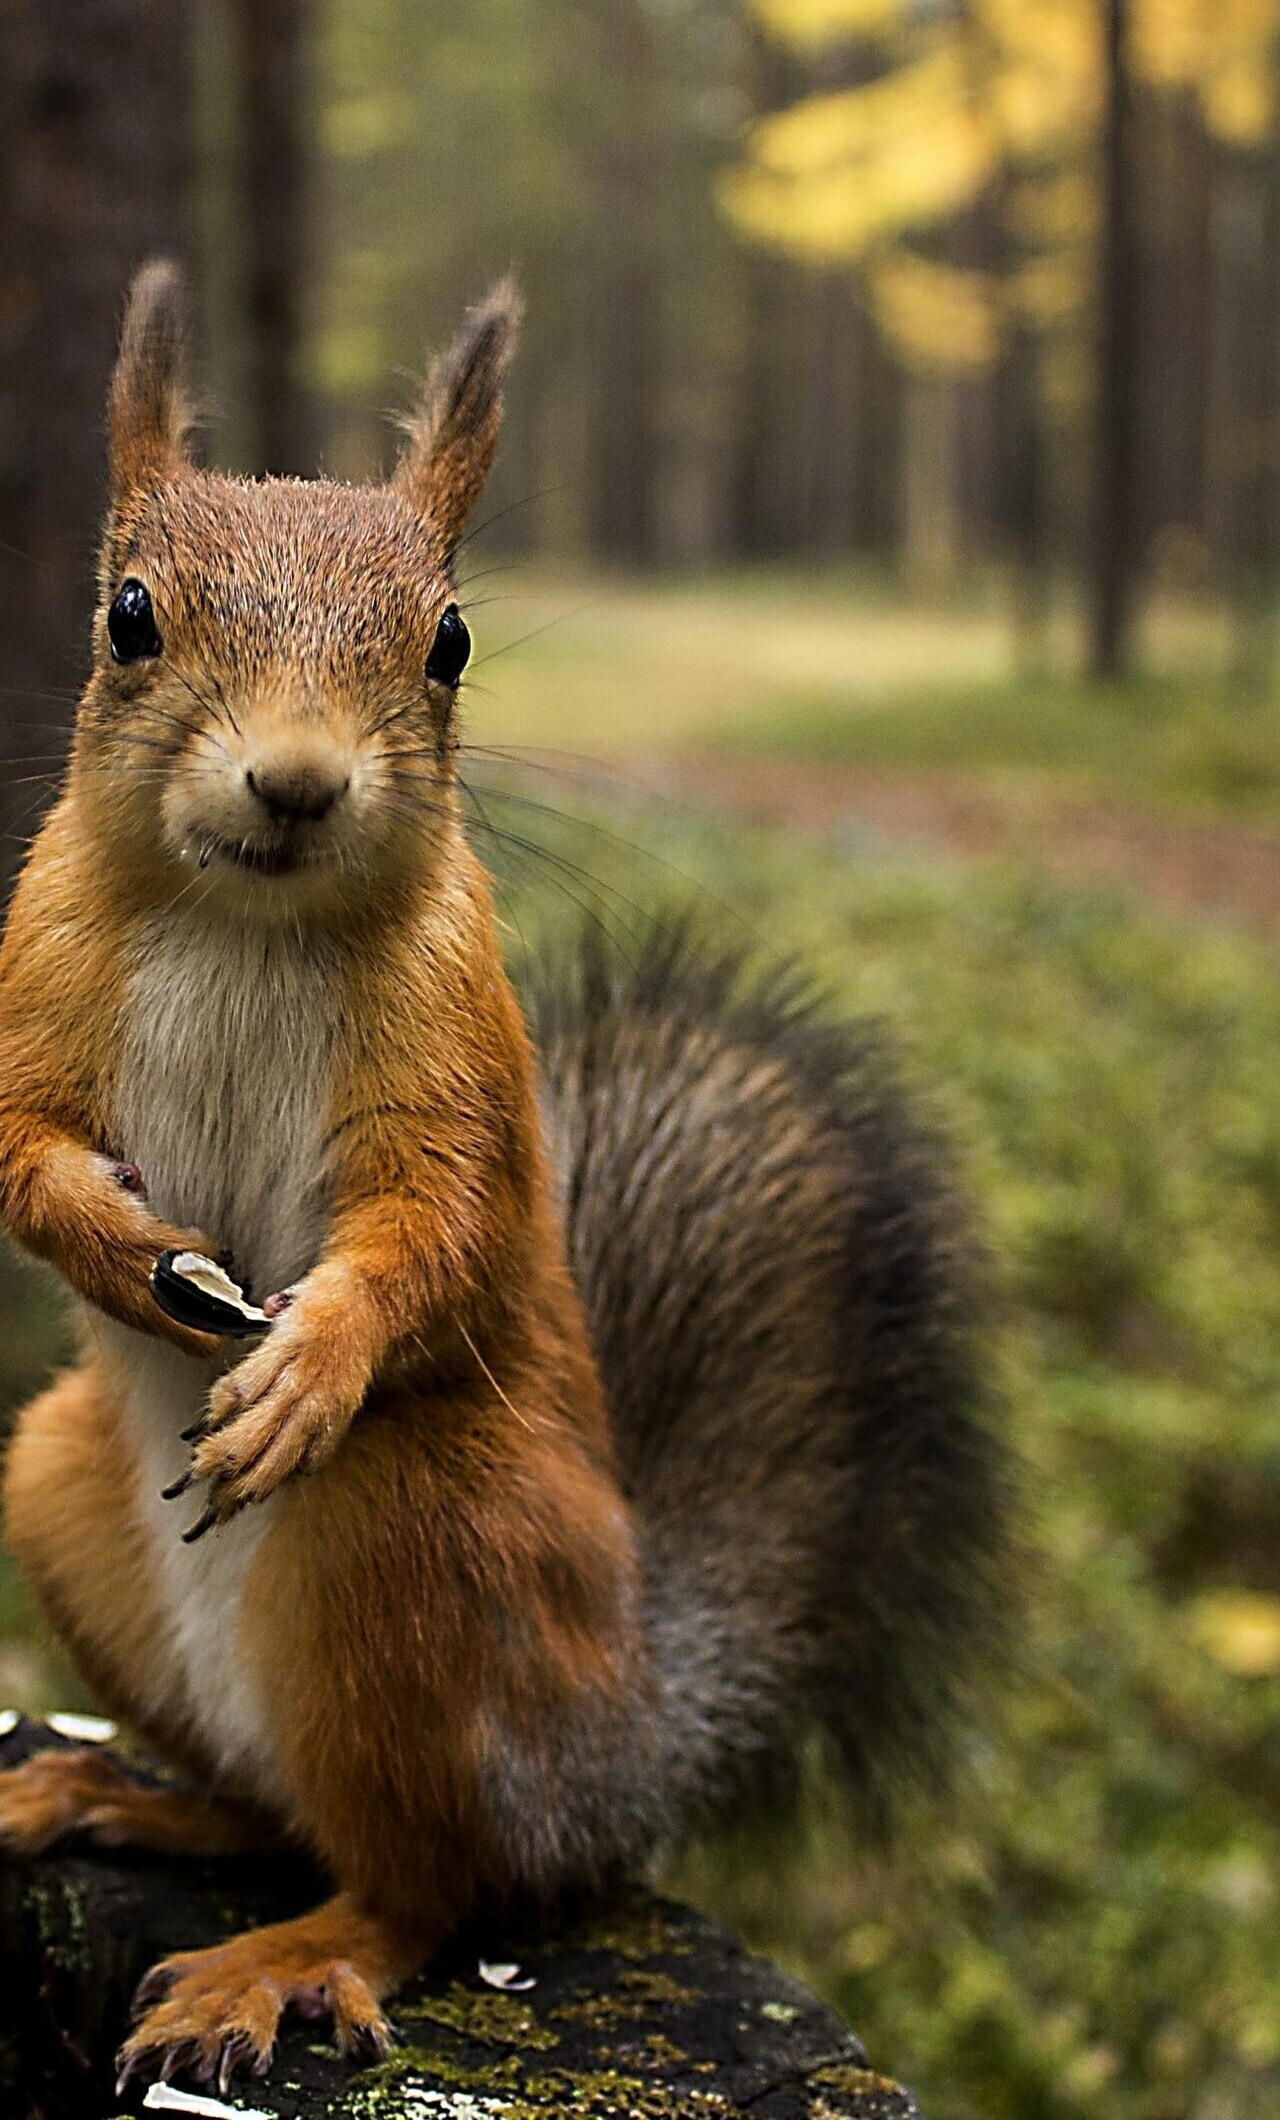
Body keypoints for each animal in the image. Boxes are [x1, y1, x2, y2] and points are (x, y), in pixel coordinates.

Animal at [0, 260, 1012, 2086]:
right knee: (278, 1813)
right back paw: (120, 1795)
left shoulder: (457, 1050)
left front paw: (310, 1361)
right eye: (127, 615)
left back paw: (284, 1959)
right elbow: (15, 1146)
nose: (296, 781)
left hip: (420, 1542)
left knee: (426, 1883)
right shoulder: (34, 979)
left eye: (452, 642)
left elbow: (444, 1229)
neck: (241, 920)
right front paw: (119, 1253)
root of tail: (621, 1751)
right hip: (57, 1484)